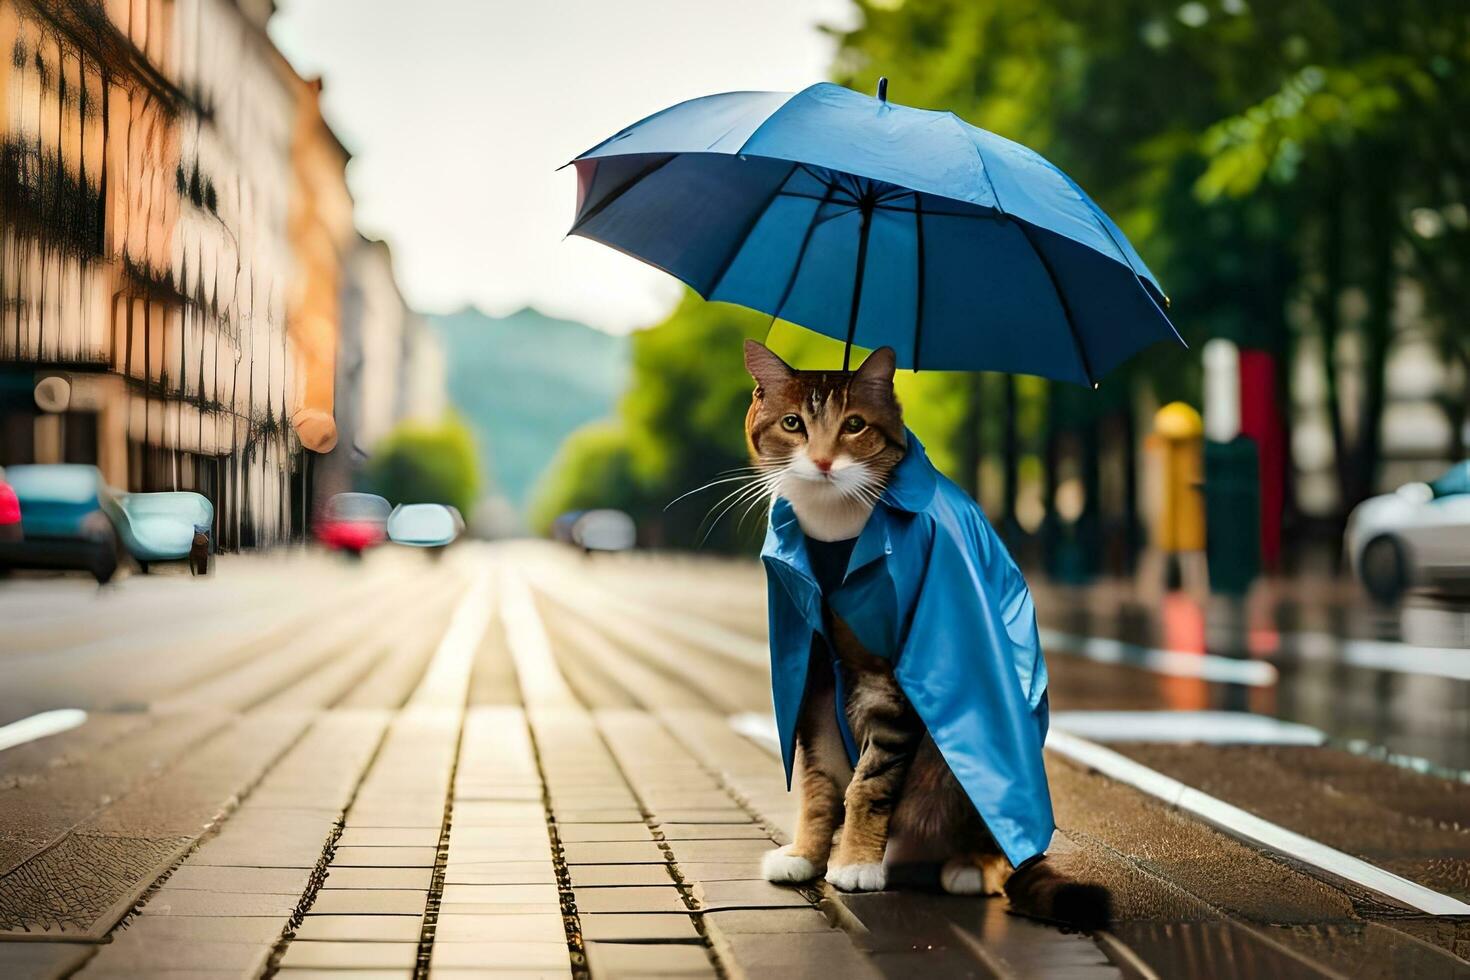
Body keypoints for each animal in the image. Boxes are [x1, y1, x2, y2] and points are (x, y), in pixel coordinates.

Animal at [740, 340, 1105, 934]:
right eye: (793, 423)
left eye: (855, 425)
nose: (822, 461)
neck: (837, 528)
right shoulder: (814, 678)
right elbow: (819, 783)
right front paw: (806, 854)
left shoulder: (894, 680)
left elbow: (869, 783)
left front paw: (855, 863)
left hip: (957, 772)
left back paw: (965, 867)